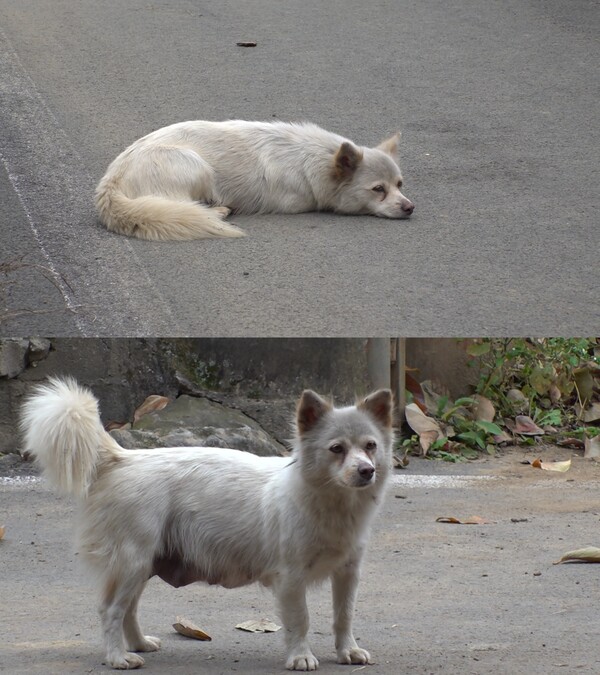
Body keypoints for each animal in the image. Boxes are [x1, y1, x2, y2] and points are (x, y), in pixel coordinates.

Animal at [19, 380, 394, 672]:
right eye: (336, 449)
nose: (367, 471)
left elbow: (343, 616)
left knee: (128, 610)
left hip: (142, 566)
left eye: (370, 446)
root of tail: (124, 459)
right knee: (111, 610)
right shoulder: (291, 579)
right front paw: (301, 656)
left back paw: (138, 644)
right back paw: (117, 658)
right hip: (132, 563)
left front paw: (347, 651)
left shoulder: (348, 574)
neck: (331, 503)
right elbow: (300, 620)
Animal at [95, 120, 412, 242]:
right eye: (378, 189)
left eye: (399, 185)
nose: (410, 208)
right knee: (185, 207)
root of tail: (110, 184)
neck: (314, 160)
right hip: (194, 165)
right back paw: (218, 211)